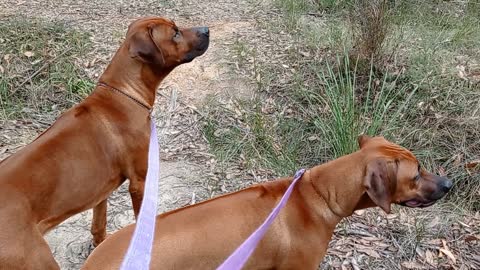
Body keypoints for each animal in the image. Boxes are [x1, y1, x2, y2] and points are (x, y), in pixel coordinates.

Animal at [0, 17, 210, 270]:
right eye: (175, 33)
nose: (207, 30)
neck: (124, 93)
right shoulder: (140, 182)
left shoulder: (101, 192)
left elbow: (99, 225)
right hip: (38, 260)